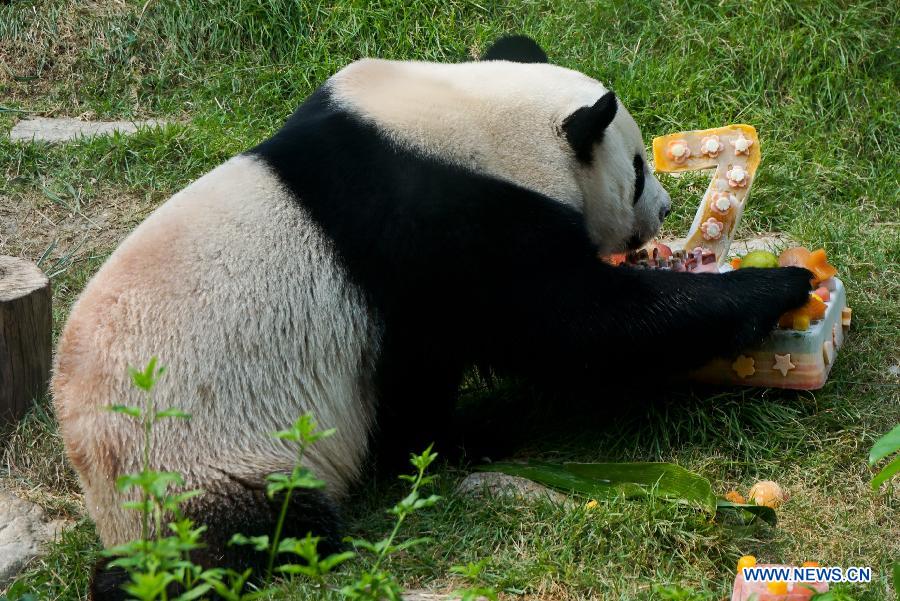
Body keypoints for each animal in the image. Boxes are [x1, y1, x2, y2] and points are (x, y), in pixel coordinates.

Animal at [49, 36, 812, 596]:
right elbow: (569, 325)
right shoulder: (441, 227)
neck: (468, 119)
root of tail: (90, 471)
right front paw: (779, 287)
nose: (661, 211)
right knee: (247, 530)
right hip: (197, 454)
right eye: (635, 169)